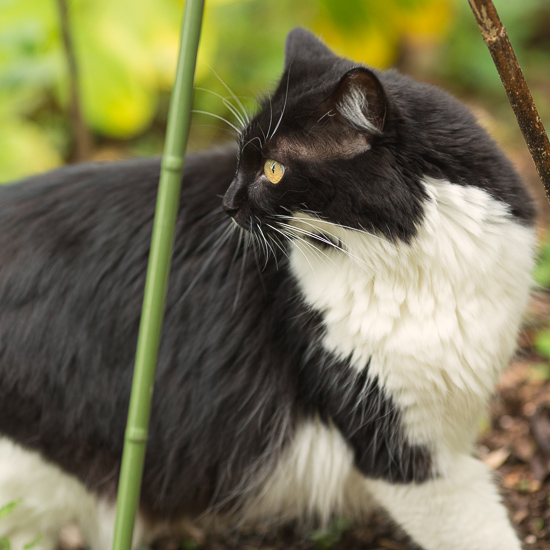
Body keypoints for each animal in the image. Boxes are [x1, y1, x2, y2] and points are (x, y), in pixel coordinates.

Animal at [0, 28, 536, 550]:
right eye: (241, 160)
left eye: (272, 170)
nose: (227, 202)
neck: (410, 265)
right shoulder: (400, 448)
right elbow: (478, 530)